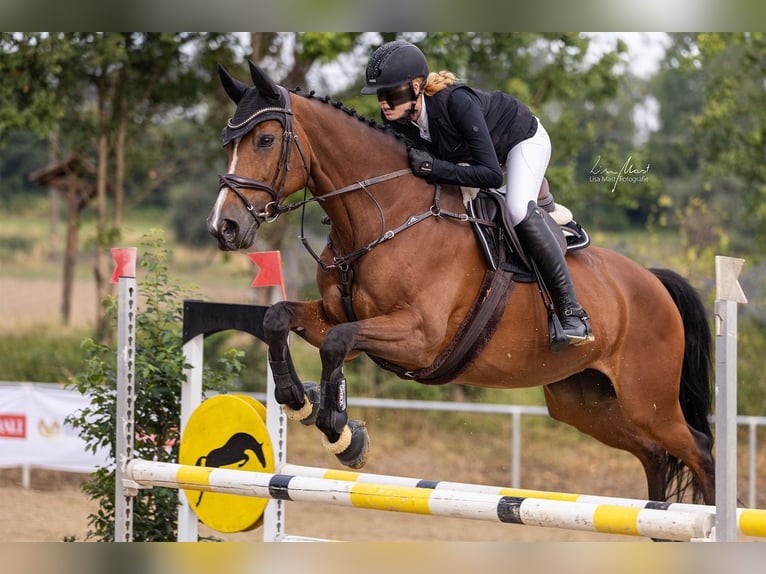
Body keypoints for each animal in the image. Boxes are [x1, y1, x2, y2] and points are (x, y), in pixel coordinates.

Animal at [206, 60, 715, 505]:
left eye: (266, 139)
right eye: (228, 144)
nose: (223, 227)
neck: (385, 215)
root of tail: (653, 281)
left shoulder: (420, 337)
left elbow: (337, 342)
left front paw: (339, 429)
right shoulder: (336, 316)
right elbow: (280, 318)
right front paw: (301, 401)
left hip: (648, 398)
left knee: (699, 450)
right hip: (585, 402)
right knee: (654, 454)